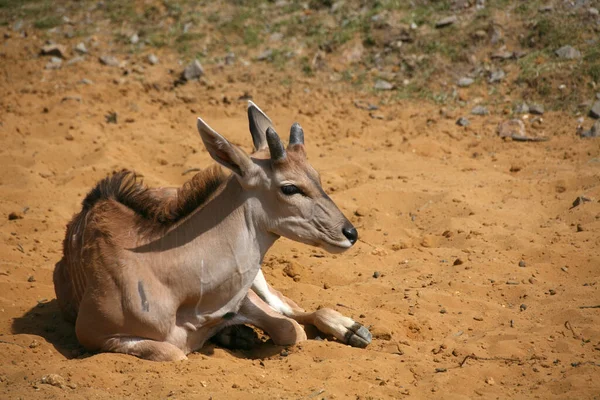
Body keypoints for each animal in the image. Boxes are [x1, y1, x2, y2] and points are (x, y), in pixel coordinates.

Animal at [54, 101, 370, 360]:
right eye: (290, 188)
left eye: (316, 176)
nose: (349, 233)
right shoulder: (93, 334)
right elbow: (173, 352)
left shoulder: (243, 297)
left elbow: (291, 328)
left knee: (291, 308)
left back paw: (353, 329)